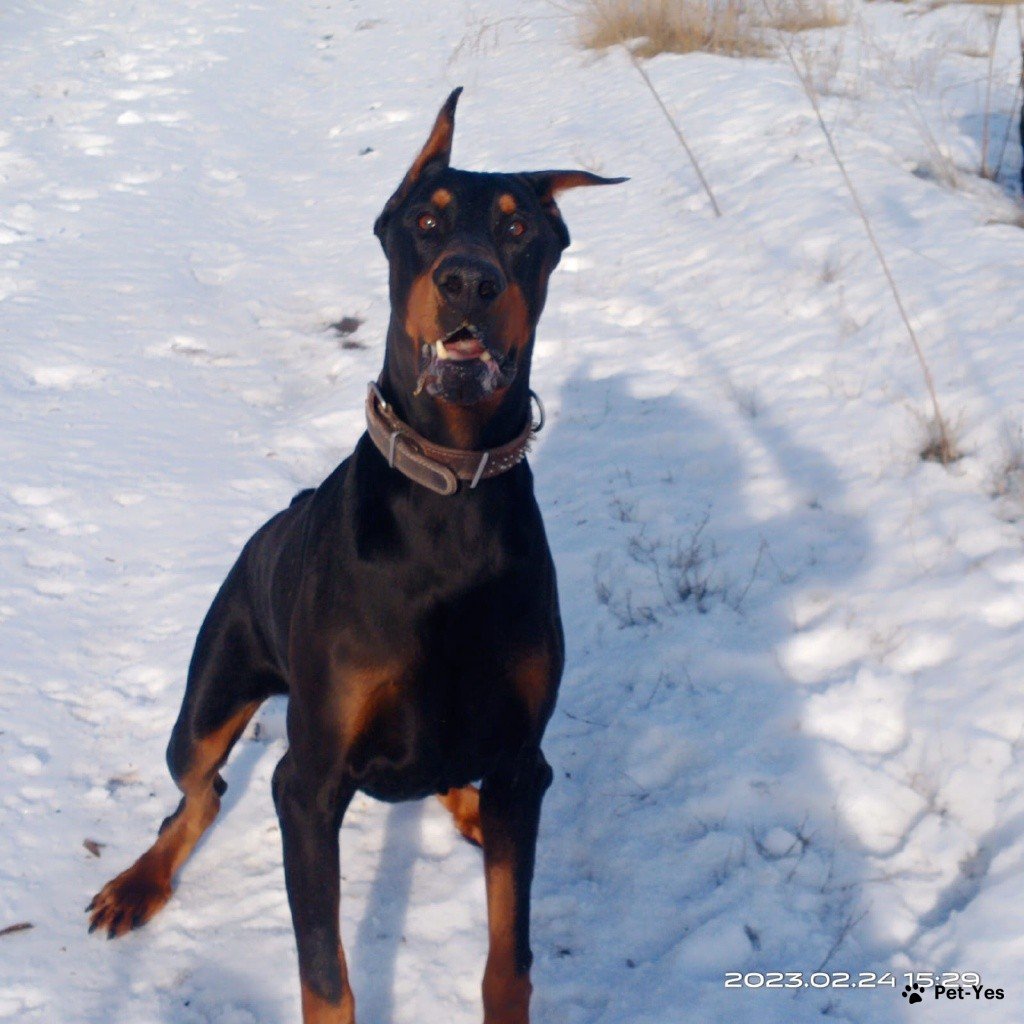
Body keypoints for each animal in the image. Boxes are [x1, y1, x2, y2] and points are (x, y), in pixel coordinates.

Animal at [88, 88, 624, 1024]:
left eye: (520, 228)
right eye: (426, 219)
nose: (469, 282)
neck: (452, 497)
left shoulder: (524, 762)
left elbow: (508, 960)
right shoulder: (306, 786)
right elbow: (325, 972)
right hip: (207, 702)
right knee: (198, 792)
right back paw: (137, 884)